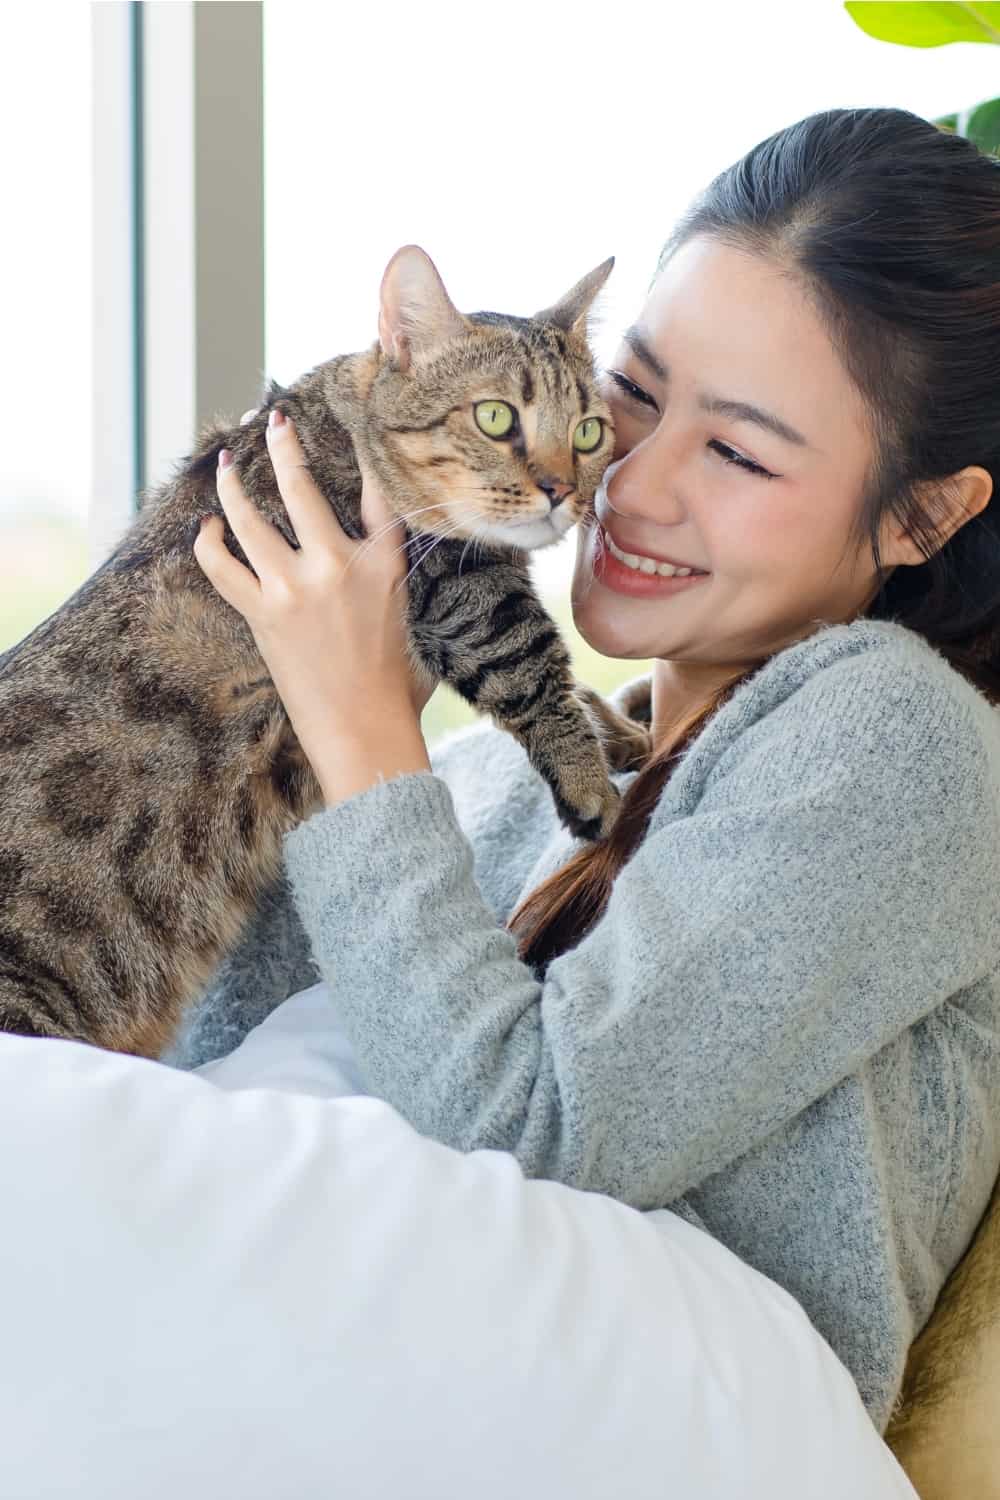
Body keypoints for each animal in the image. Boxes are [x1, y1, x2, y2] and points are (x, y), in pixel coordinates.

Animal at [0, 246, 650, 1056]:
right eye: (497, 417)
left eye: (589, 432)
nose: (562, 488)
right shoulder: (458, 586)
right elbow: (535, 669)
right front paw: (591, 781)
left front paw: (623, 731)